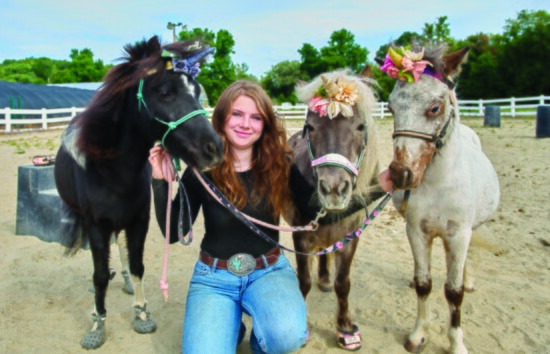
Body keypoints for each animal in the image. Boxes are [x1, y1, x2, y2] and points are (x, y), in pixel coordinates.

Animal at [53, 36, 222, 348]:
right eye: (165, 92)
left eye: (196, 91)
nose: (215, 148)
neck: (112, 172)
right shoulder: (96, 225)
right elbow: (99, 276)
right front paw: (97, 323)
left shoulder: (138, 222)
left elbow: (137, 266)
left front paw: (142, 314)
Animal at [378, 45, 502, 354]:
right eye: (391, 108)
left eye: (435, 107)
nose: (400, 175)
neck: (438, 185)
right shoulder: (417, 232)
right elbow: (425, 284)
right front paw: (418, 335)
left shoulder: (458, 235)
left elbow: (453, 293)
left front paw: (456, 343)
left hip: (470, 229)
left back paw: (468, 281)